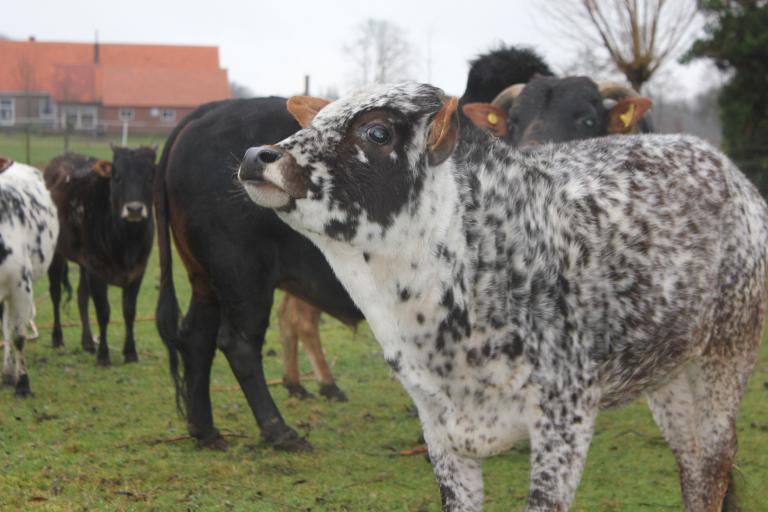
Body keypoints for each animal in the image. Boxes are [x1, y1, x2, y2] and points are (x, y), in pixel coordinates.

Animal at [45, 146, 156, 366]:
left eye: (149, 177)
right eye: (118, 178)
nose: (134, 209)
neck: (127, 241)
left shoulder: (138, 270)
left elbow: (129, 310)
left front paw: (131, 352)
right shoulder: (97, 270)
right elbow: (103, 311)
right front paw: (103, 355)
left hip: (83, 262)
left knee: (81, 296)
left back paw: (88, 342)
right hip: (56, 252)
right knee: (55, 293)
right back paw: (57, 337)